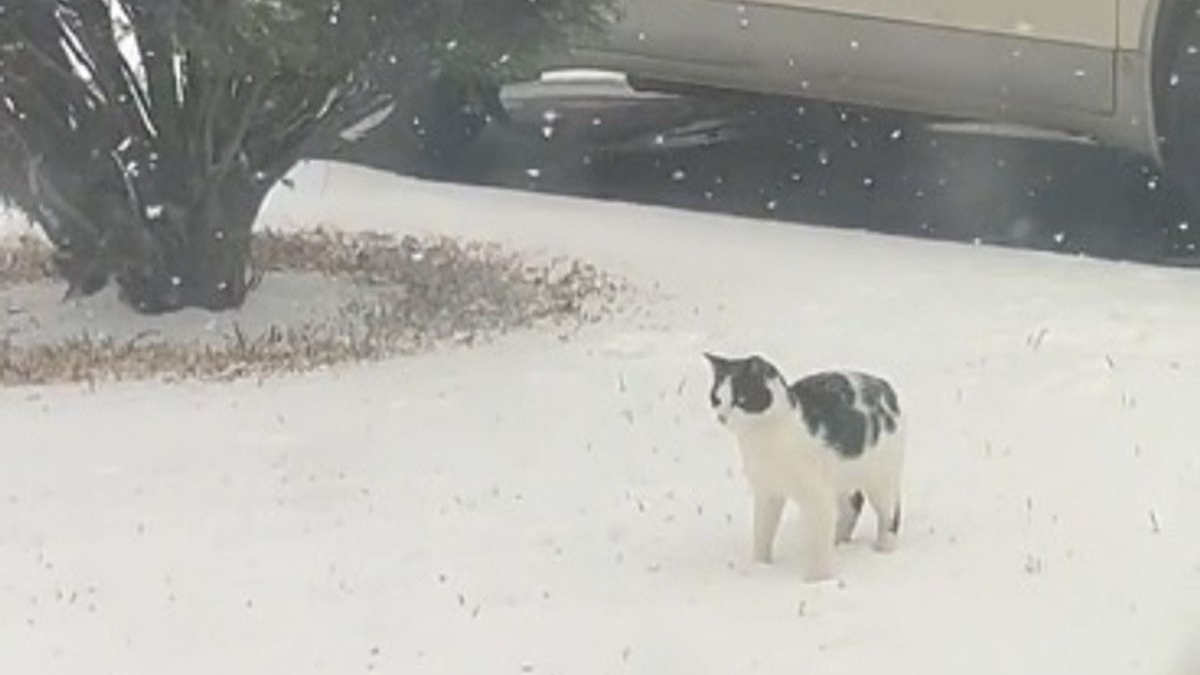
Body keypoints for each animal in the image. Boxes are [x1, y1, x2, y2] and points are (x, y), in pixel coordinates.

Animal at [700, 353, 902, 578]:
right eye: (716, 399)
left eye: (740, 400)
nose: (722, 417)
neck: (764, 439)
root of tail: (882, 384)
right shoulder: (767, 492)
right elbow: (762, 534)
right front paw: (760, 567)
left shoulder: (817, 497)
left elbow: (818, 545)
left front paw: (817, 579)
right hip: (843, 479)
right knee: (852, 506)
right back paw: (839, 543)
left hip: (881, 478)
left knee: (889, 514)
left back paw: (883, 550)